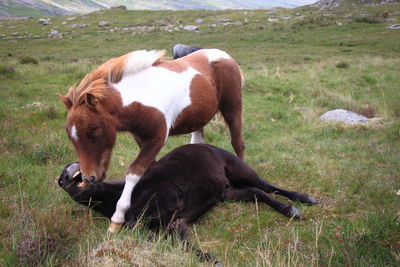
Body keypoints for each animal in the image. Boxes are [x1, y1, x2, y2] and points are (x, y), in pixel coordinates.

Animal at [56, 49, 244, 233]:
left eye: (94, 132)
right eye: (71, 138)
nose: (89, 178)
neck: (143, 98)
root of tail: (226, 56)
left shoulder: (157, 139)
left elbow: (134, 172)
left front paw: (117, 219)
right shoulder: (141, 138)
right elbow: (150, 168)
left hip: (232, 109)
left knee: (238, 143)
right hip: (199, 119)